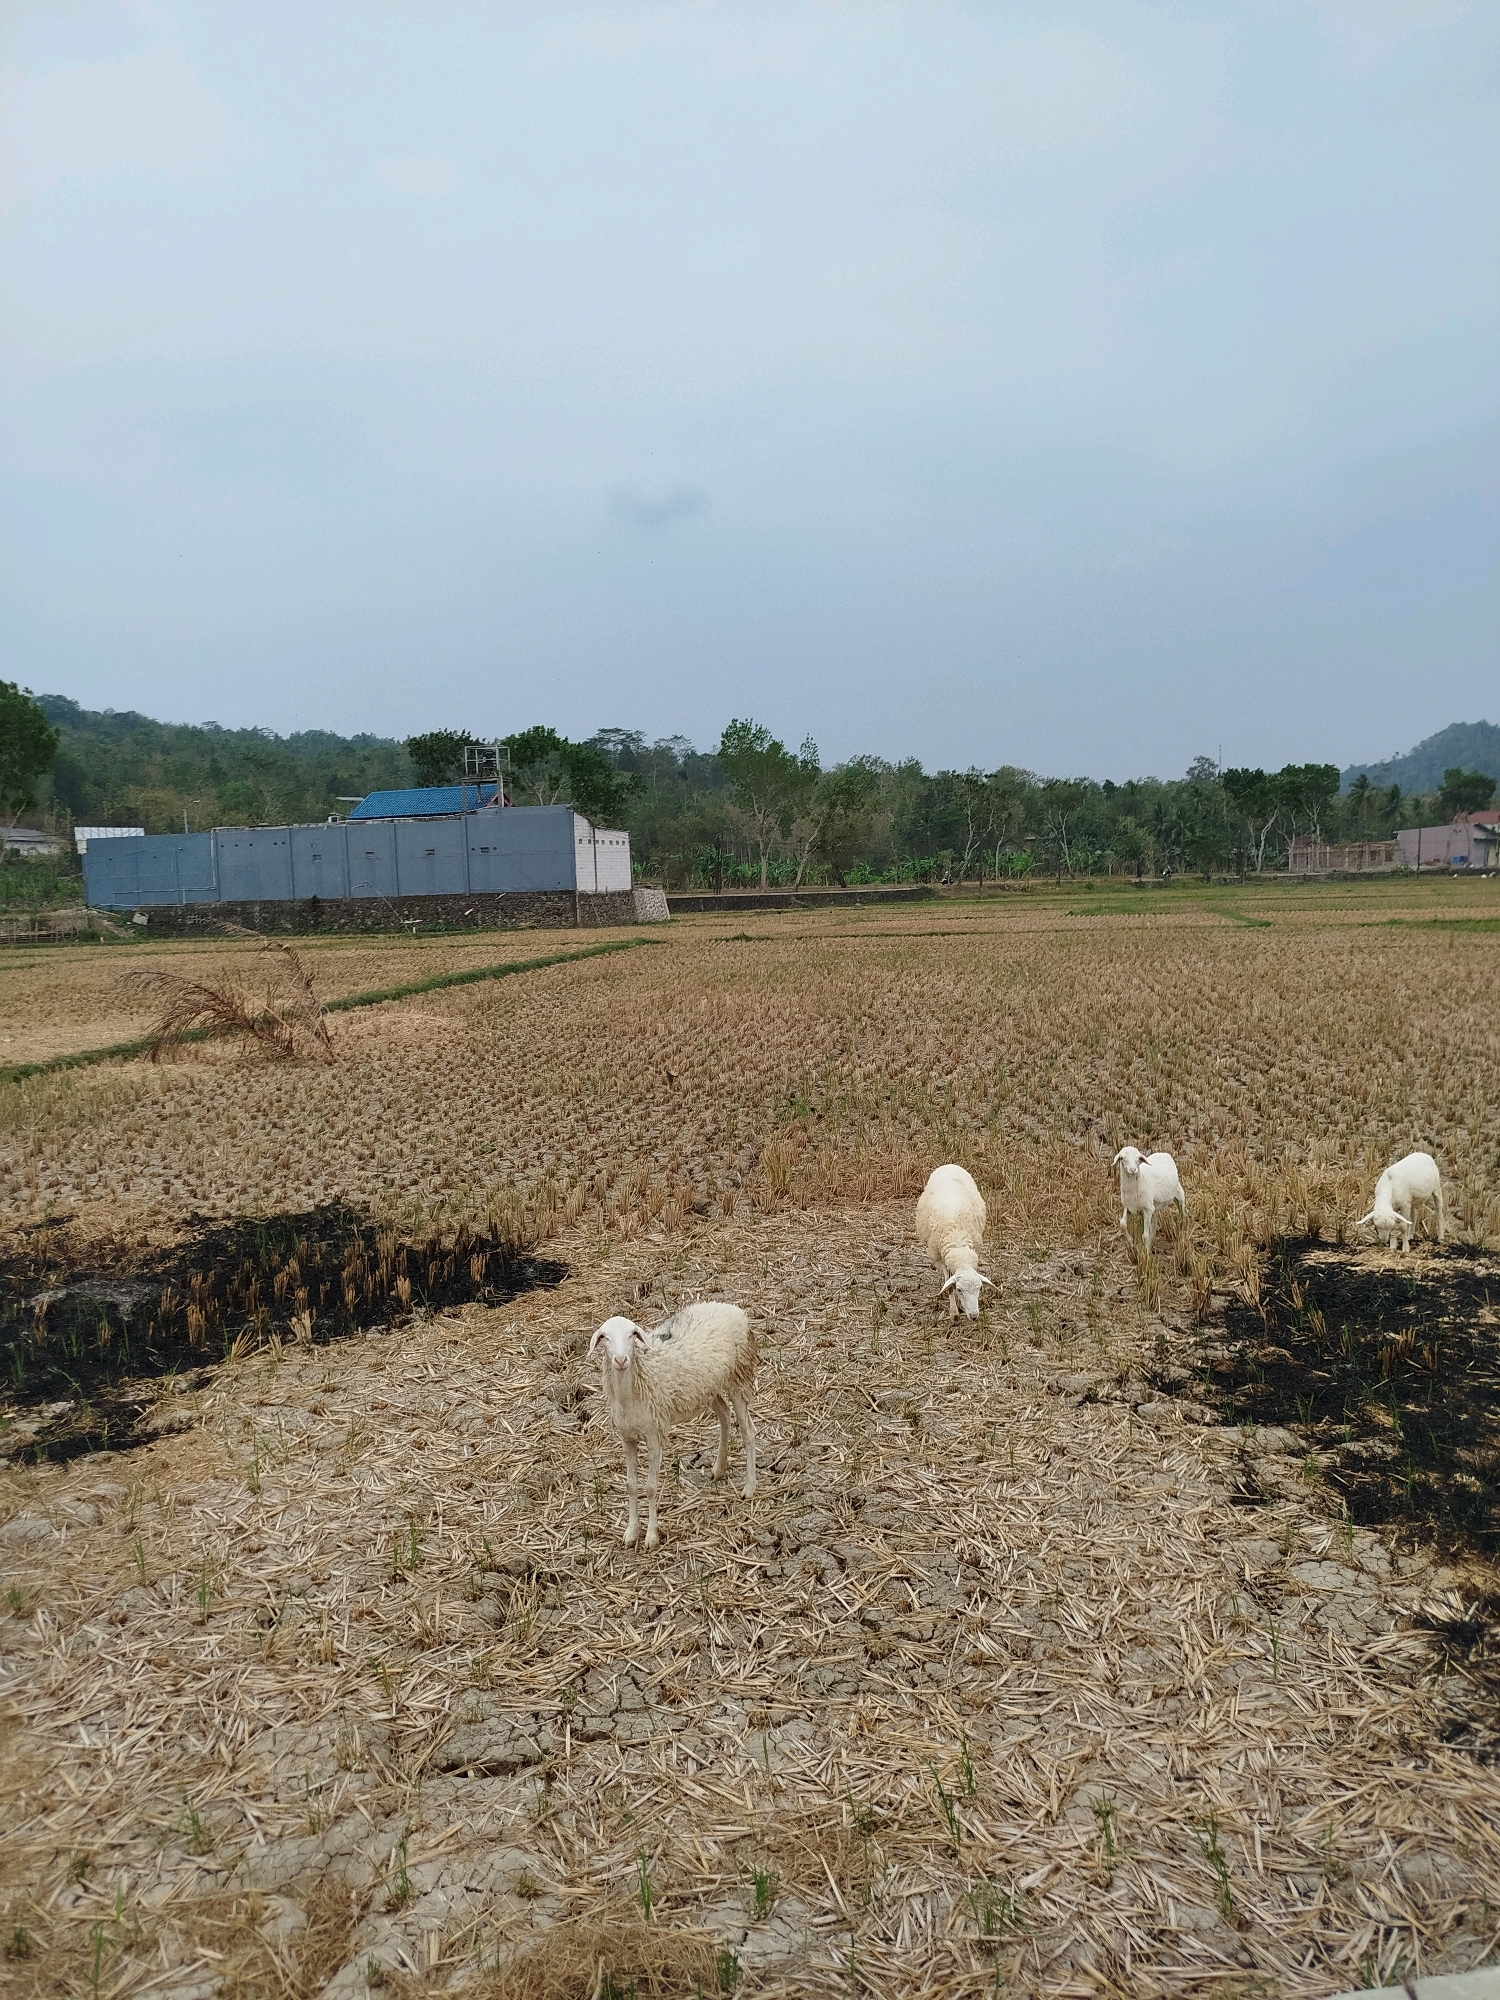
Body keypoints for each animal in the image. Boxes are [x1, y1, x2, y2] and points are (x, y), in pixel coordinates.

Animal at [589, 1301, 757, 1549]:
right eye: (604, 1337)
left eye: (632, 1334)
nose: (620, 1360)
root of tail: (731, 1308)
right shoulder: (627, 1437)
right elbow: (630, 1484)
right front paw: (631, 1531)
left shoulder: (653, 1434)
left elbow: (650, 1488)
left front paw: (651, 1536)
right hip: (707, 1388)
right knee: (725, 1414)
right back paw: (718, 1468)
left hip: (737, 1376)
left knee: (748, 1431)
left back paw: (749, 1487)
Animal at [915, 1163, 994, 1318]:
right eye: (959, 1289)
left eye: (980, 1288)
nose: (974, 1316)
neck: (957, 1241)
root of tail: (949, 1164)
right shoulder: (939, 1258)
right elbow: (948, 1285)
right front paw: (954, 1313)